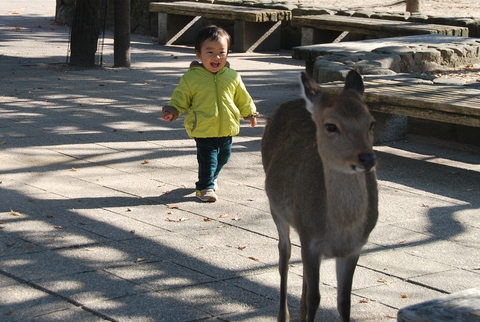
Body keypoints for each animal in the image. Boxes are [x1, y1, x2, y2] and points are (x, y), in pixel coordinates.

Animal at [262, 70, 378, 322]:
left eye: (371, 122)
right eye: (331, 126)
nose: (368, 158)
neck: (340, 229)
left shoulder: (354, 249)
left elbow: (344, 302)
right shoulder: (311, 240)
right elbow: (315, 298)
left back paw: (301, 310)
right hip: (275, 208)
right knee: (284, 252)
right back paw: (284, 315)